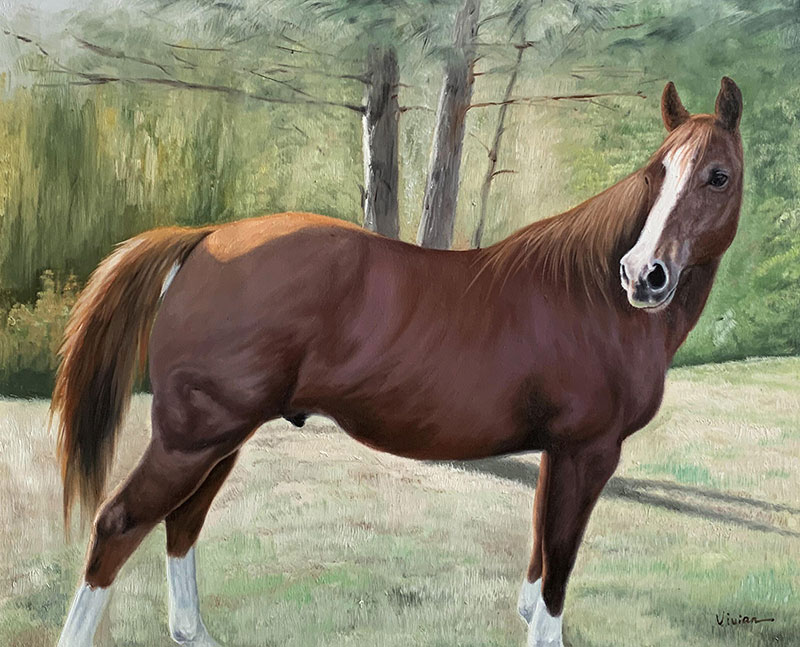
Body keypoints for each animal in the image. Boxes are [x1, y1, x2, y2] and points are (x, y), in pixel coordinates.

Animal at [52, 77, 743, 647]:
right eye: (658, 172)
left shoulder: (561, 452)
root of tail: (204, 240)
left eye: (717, 176)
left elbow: (540, 548)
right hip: (192, 440)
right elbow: (560, 562)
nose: (644, 275)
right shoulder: (589, 451)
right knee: (119, 526)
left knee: (182, 525)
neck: (588, 295)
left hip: (221, 439)